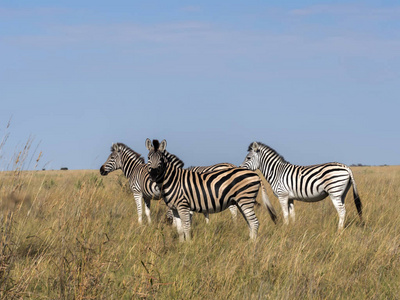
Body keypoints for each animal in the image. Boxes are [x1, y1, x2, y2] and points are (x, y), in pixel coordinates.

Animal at [145, 139, 278, 241]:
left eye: (161, 159)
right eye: (148, 158)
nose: (153, 175)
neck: (173, 179)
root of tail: (256, 175)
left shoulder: (183, 205)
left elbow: (187, 226)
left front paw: (188, 245)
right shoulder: (176, 207)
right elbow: (180, 229)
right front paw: (181, 244)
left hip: (245, 199)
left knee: (254, 223)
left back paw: (252, 245)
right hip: (242, 202)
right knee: (250, 223)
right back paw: (249, 242)